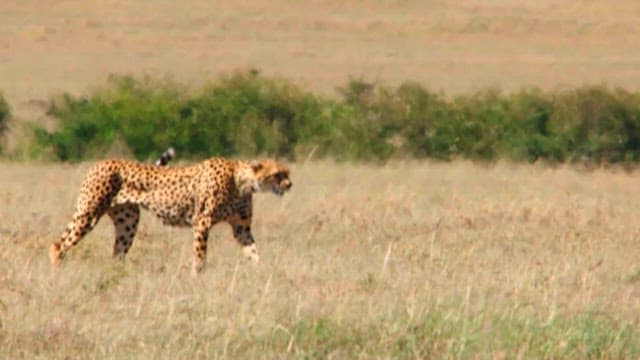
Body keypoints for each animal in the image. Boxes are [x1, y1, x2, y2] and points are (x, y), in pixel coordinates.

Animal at [52, 156, 292, 272]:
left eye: (287, 173)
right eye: (278, 174)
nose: (290, 185)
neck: (242, 181)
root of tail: (99, 162)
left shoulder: (241, 227)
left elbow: (253, 252)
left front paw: (261, 273)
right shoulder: (202, 222)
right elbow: (200, 257)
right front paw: (198, 278)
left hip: (128, 223)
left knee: (117, 253)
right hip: (88, 214)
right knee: (59, 244)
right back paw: (57, 272)